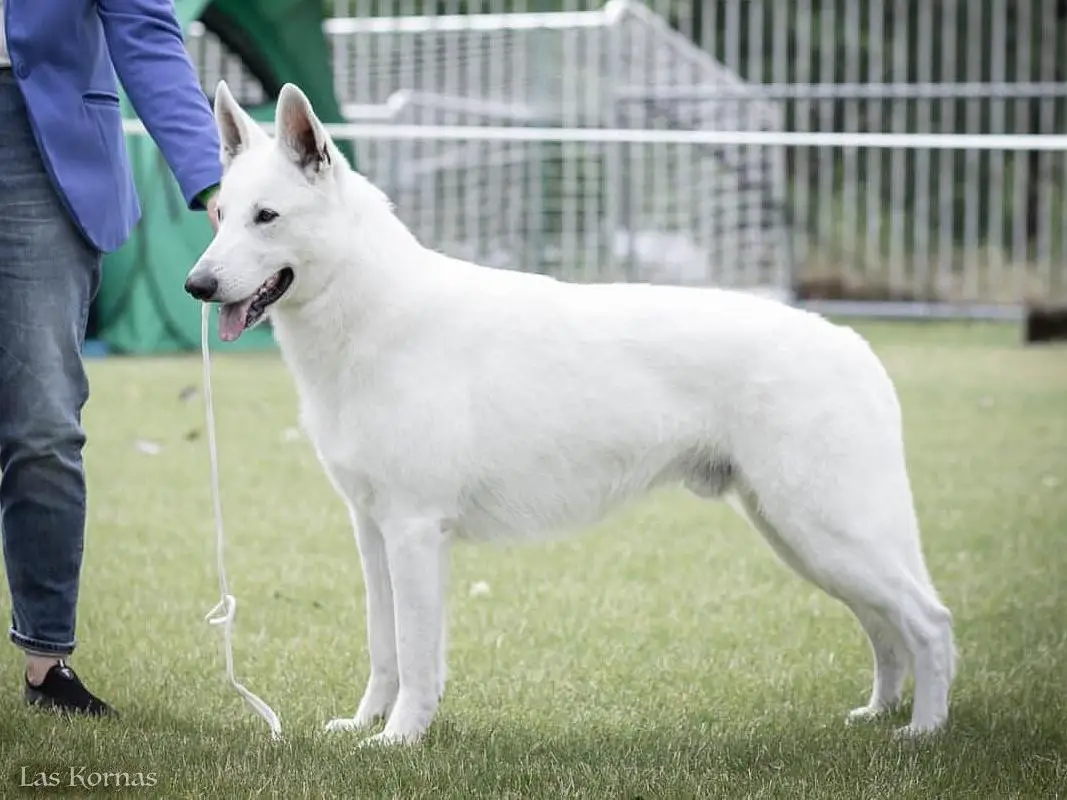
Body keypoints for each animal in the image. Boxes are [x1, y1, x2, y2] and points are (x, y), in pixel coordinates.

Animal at [185, 80, 960, 746]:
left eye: (266, 217)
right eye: (222, 215)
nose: (197, 284)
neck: (370, 314)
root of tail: (850, 342)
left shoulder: (413, 531)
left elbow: (415, 653)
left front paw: (400, 740)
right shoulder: (373, 531)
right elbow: (387, 649)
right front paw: (365, 726)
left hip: (828, 532)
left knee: (929, 621)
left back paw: (922, 732)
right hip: (803, 539)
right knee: (885, 629)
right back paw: (878, 714)